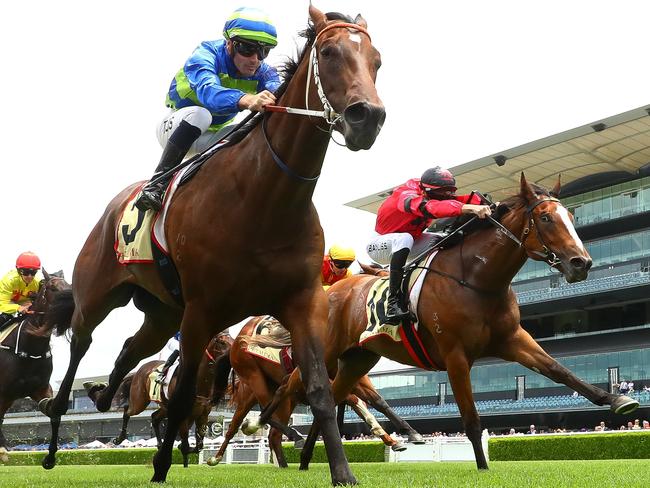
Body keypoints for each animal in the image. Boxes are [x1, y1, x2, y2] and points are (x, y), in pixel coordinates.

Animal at [101, 332, 233, 466]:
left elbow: (198, 445)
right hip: (139, 402)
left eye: (232, 339)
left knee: (154, 418)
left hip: (164, 406)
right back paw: (120, 438)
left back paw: (159, 445)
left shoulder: (203, 413)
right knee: (127, 410)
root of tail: (137, 372)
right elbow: (186, 444)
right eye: (221, 342)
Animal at [206, 314, 420, 468]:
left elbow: (377, 402)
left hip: (279, 398)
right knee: (249, 422)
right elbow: (356, 401)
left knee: (271, 432)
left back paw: (282, 463)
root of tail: (236, 343)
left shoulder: (356, 378)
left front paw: (401, 436)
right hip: (253, 380)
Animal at [248, 174, 636, 468]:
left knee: (333, 396)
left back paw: (306, 457)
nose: (581, 263)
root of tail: (331, 292)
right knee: (291, 386)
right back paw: (264, 423)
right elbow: (471, 418)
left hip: (359, 359)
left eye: (571, 214)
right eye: (545, 219)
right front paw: (482, 468)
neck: (478, 280)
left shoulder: (512, 339)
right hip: (325, 351)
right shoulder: (455, 354)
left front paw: (617, 399)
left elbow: (560, 370)